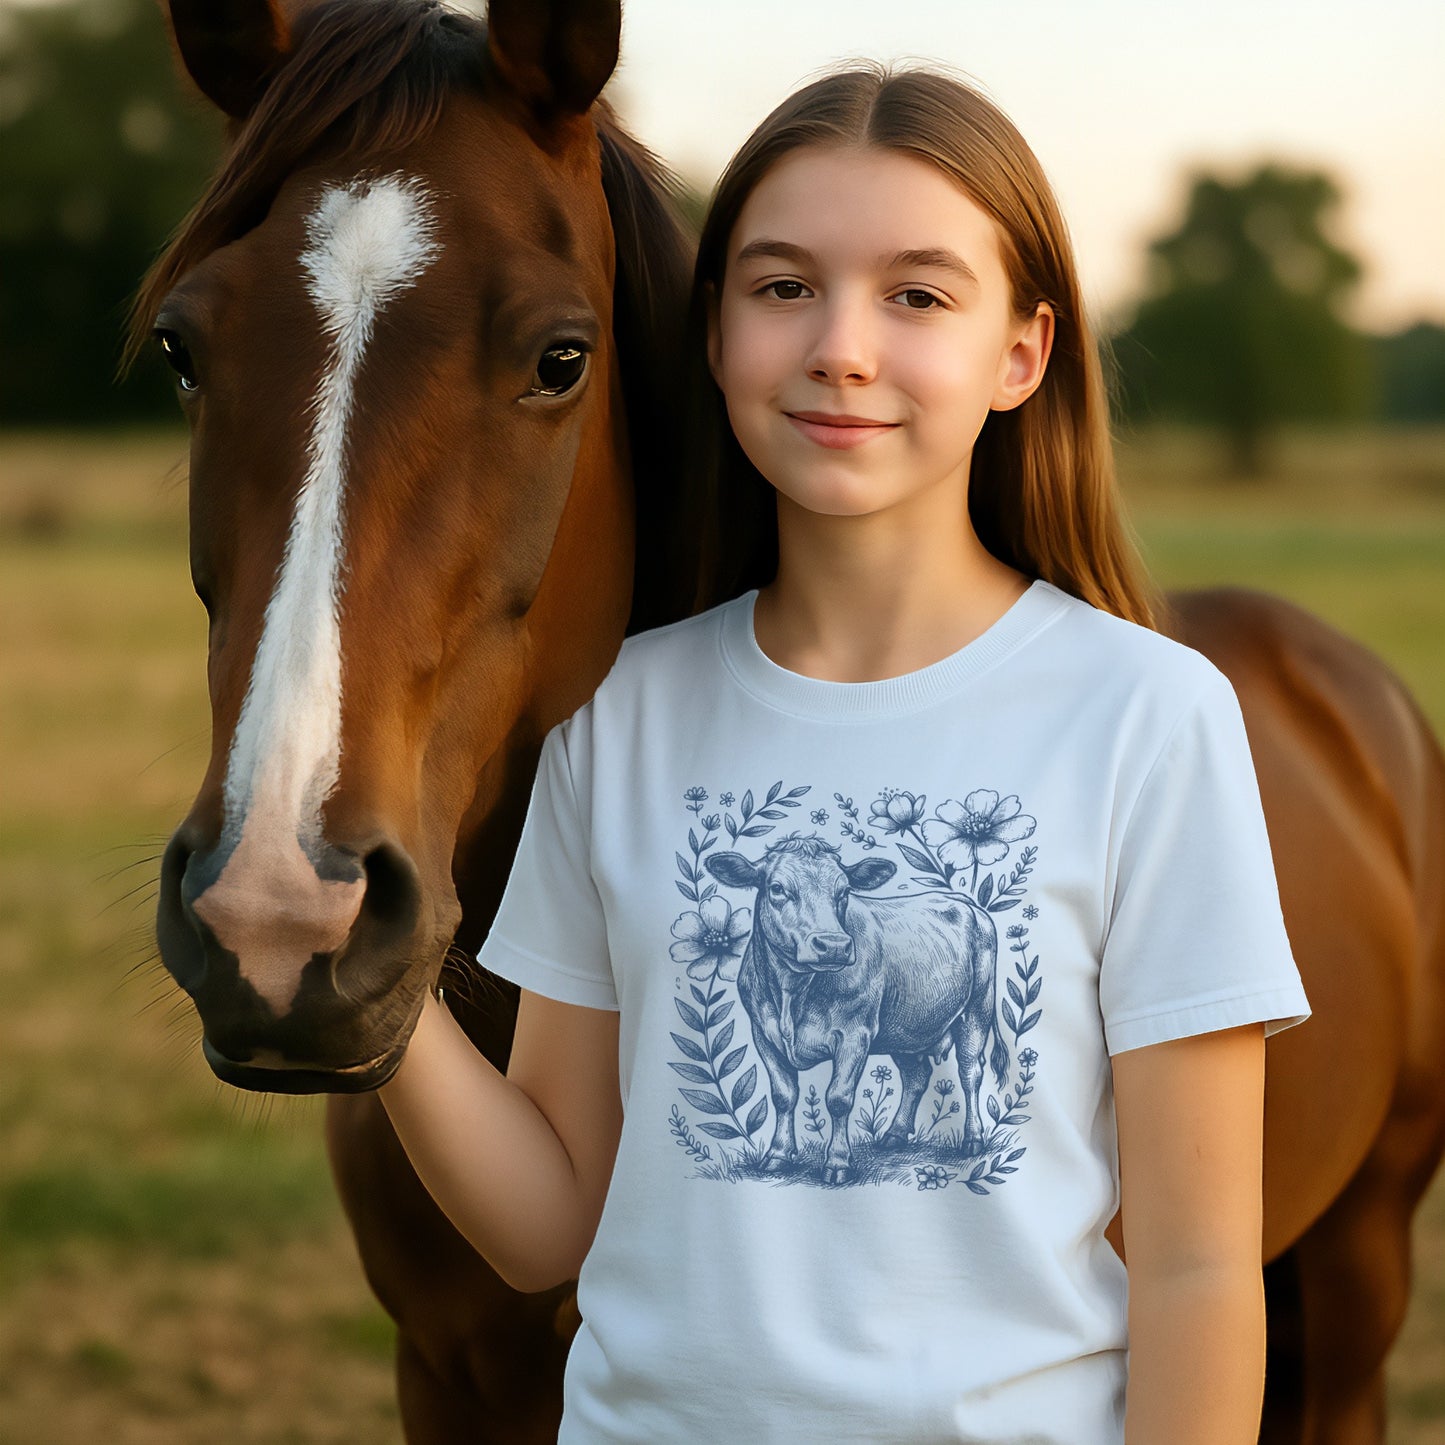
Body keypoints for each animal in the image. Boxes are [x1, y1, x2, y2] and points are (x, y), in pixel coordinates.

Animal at [705, 833, 1008, 1185]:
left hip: (977, 1009)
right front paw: (778, 1155)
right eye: (777, 888)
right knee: (916, 1076)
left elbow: (838, 1098)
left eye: (844, 891)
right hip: (906, 1028)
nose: (834, 946)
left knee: (970, 1072)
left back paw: (973, 1139)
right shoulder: (763, 1034)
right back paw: (894, 1135)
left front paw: (837, 1163)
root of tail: (965, 901)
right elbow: (783, 1096)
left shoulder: (855, 1034)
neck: (792, 993)